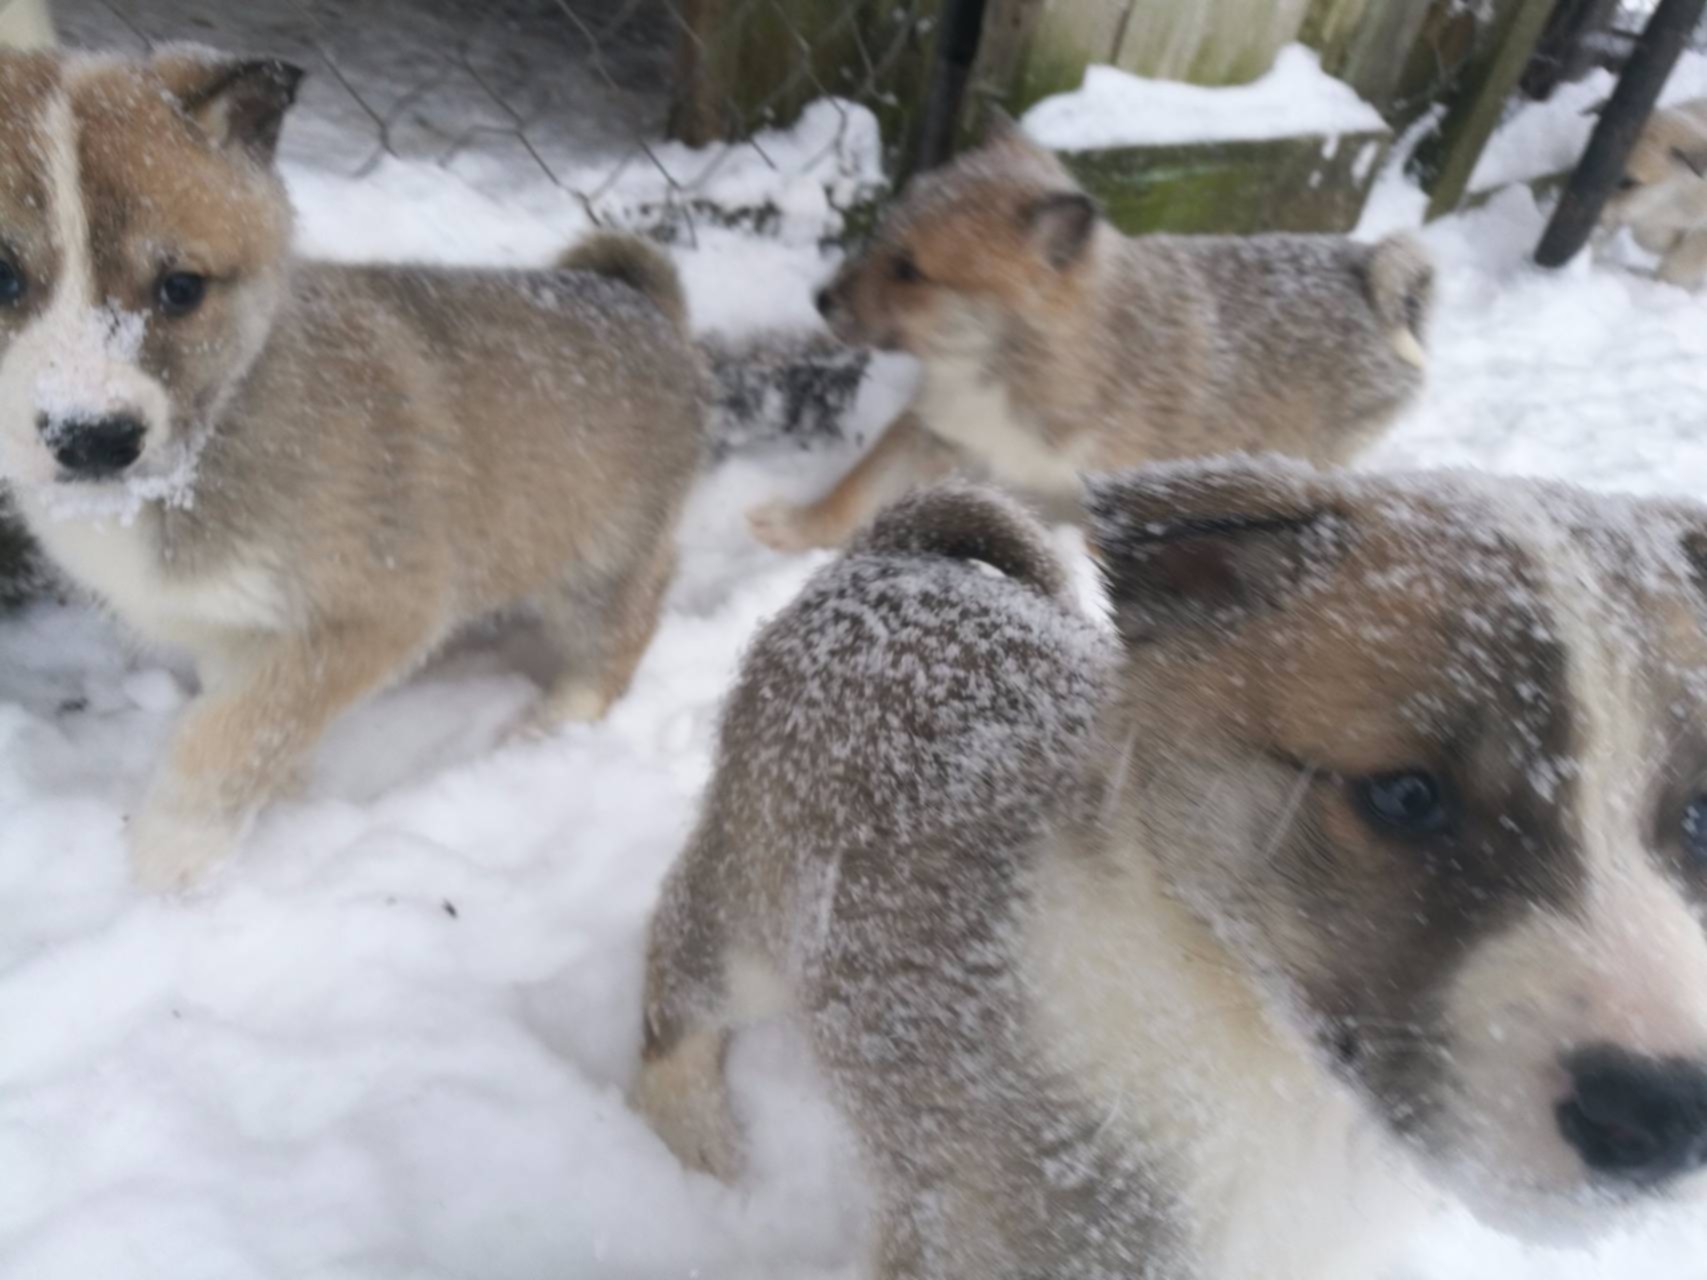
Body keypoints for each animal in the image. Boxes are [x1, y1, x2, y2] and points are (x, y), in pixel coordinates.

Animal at [0, 52, 706, 894]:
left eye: (180, 288)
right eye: (1, 278)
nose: (94, 438)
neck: (216, 434)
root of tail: (643, 307)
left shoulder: (381, 608)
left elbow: (233, 731)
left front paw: (176, 851)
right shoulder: (238, 626)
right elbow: (255, 717)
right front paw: (275, 796)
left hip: (598, 563)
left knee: (625, 624)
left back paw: (557, 720)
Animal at [638, 464, 1707, 1280]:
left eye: (1697, 815)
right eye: (1405, 796)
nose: (1662, 1114)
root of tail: (892, 556)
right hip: (749, 906)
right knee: (673, 978)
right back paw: (694, 1139)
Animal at [754, 121, 1433, 556]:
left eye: (909, 270)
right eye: (882, 237)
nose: (820, 299)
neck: (1004, 367)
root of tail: (1375, 275)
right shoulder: (934, 429)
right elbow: (855, 488)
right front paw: (797, 528)